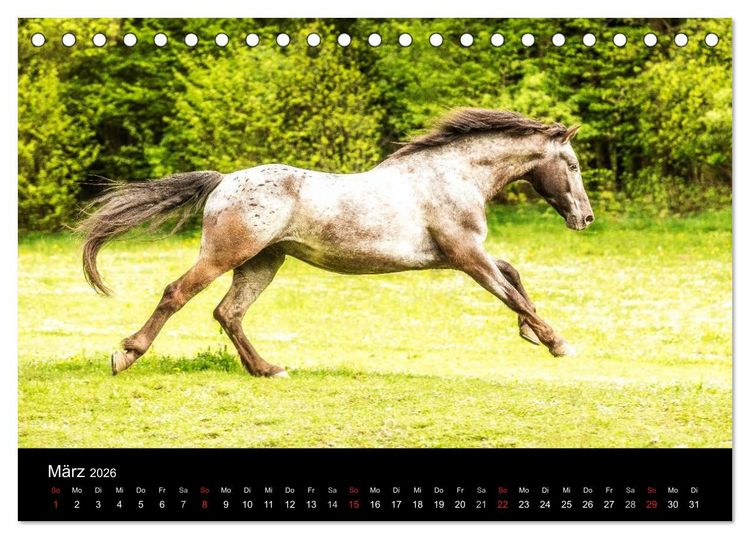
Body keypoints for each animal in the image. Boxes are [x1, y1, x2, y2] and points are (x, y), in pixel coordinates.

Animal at [78, 108, 594, 378]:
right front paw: (557, 342)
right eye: (570, 164)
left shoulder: (465, 255)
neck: (452, 176)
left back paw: (267, 369)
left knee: (228, 313)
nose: (585, 218)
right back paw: (125, 354)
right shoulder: (466, 256)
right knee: (177, 294)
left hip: (263, 262)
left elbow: (514, 276)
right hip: (227, 255)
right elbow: (511, 293)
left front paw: (532, 334)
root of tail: (224, 181)